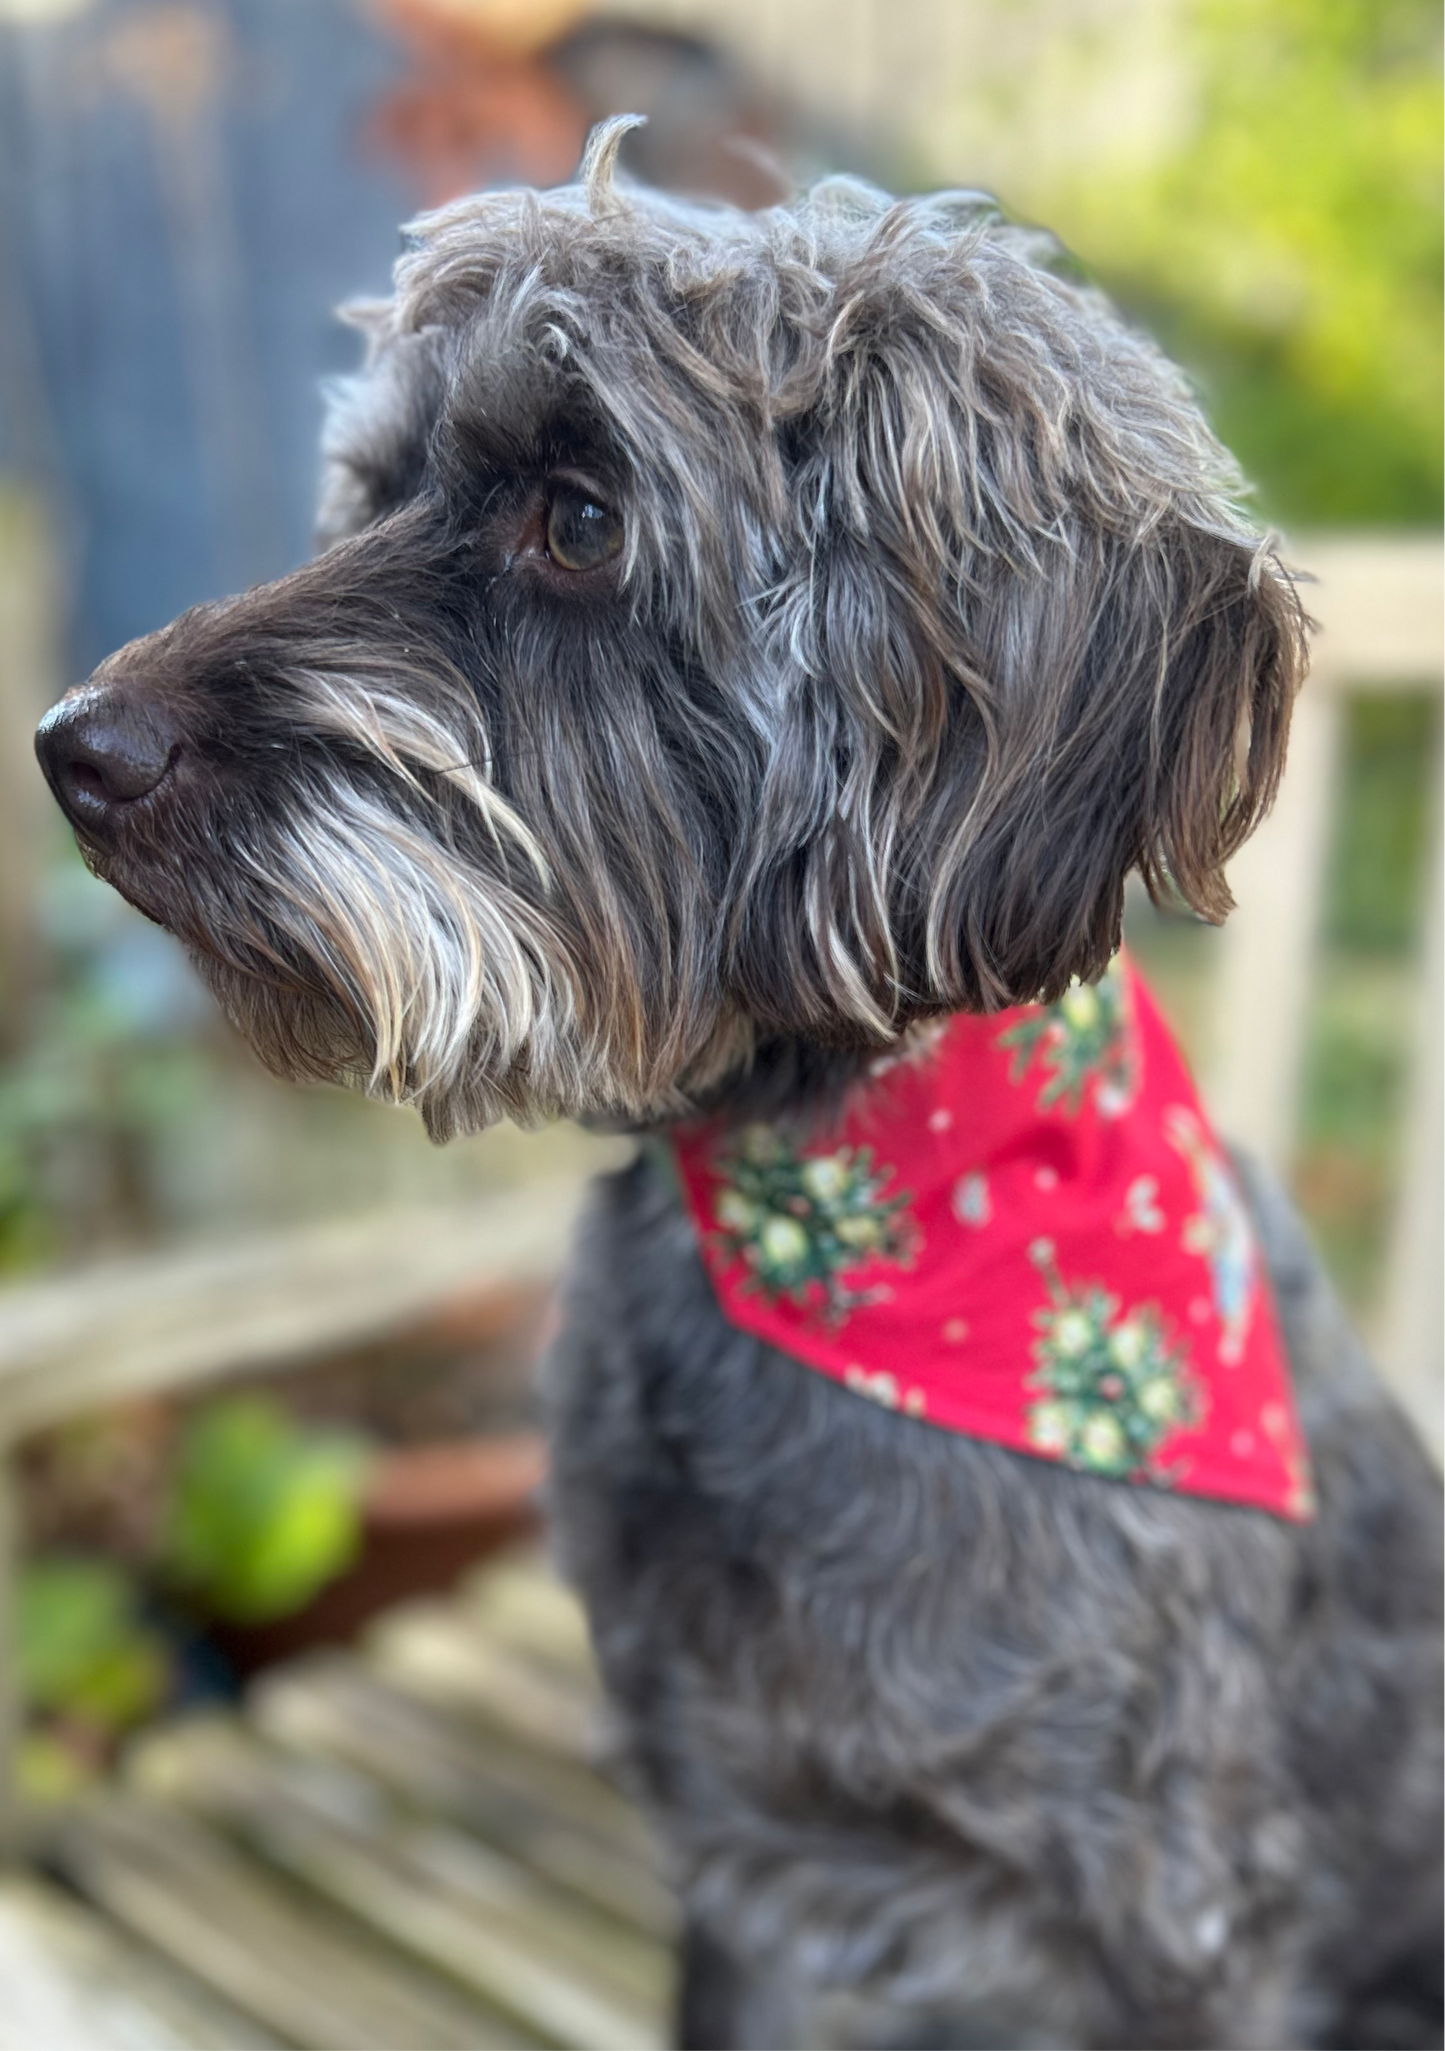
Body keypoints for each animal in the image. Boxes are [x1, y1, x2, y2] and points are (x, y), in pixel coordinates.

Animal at [33, 128, 1445, 2051]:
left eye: (581, 517)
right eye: (377, 487)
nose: (73, 749)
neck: (845, 1224)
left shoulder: (1175, 1911)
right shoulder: (742, 1852)